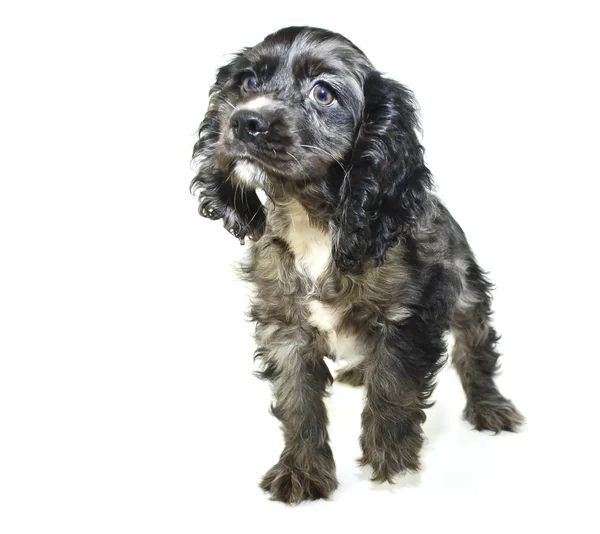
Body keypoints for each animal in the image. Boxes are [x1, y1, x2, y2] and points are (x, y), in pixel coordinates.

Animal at [190, 27, 524, 504]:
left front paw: (391, 461)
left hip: (467, 293)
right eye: (249, 82)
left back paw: (489, 407)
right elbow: (297, 401)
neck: (313, 221)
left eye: (323, 92)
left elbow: (393, 388)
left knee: (474, 351)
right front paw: (301, 471)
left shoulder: (407, 318)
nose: (244, 121)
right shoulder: (284, 328)